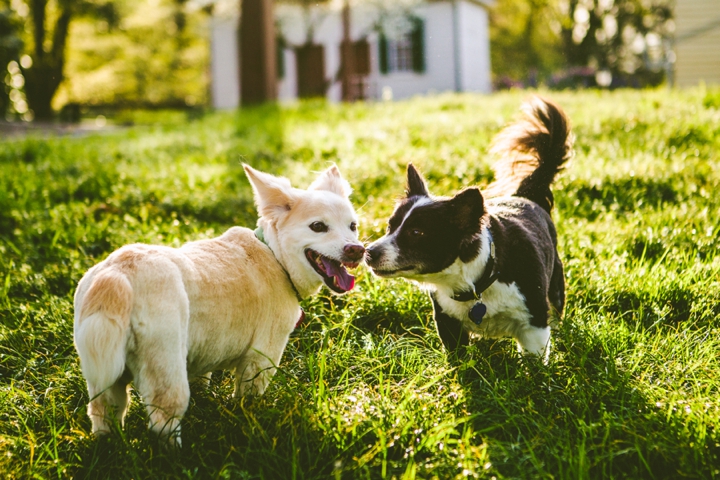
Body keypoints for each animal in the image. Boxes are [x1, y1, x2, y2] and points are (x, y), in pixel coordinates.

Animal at [75, 166, 362, 446]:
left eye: (353, 226)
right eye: (318, 226)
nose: (357, 250)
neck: (274, 255)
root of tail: (117, 273)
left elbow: (203, 380)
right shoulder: (261, 356)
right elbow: (249, 399)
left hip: (105, 376)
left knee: (102, 413)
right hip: (166, 369)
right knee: (163, 421)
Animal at [366, 97, 572, 360]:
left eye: (416, 233)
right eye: (389, 226)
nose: (368, 252)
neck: (477, 282)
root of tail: (525, 196)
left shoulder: (534, 323)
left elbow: (534, 359)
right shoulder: (448, 322)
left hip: (555, 283)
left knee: (556, 309)